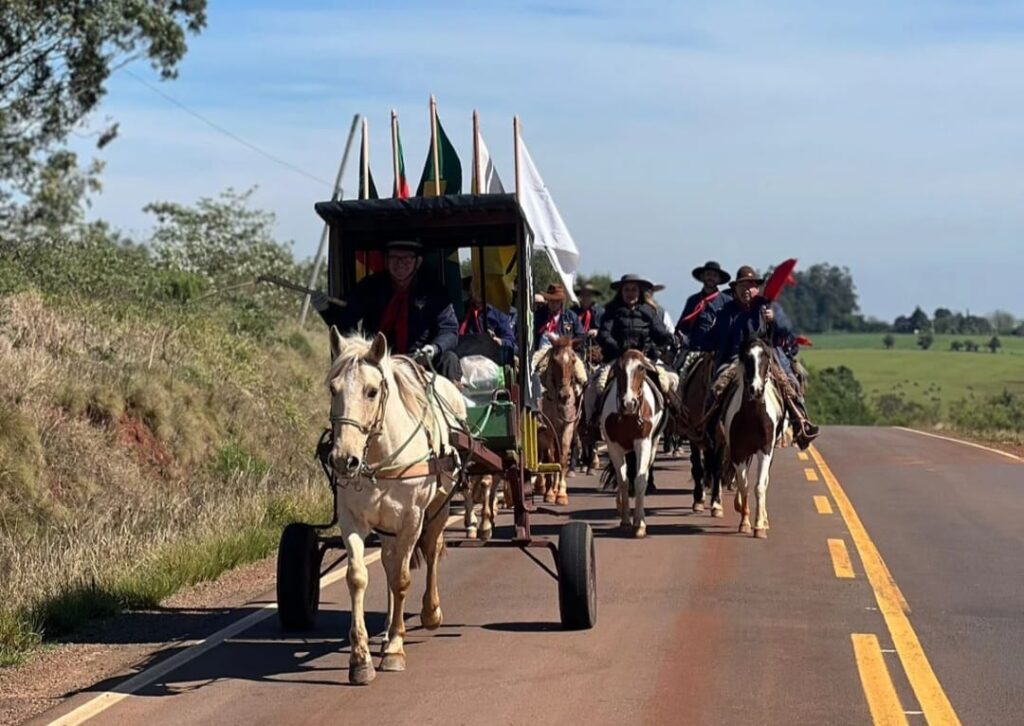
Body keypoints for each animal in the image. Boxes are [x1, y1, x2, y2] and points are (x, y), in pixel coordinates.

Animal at [325, 331, 466, 684]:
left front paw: (394, 649)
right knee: (390, 563)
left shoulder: (411, 518)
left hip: (439, 507)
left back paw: (429, 613)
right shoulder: (352, 520)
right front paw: (360, 659)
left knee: (431, 549)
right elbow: (358, 577)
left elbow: (402, 580)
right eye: (332, 389)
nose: (343, 459)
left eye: (371, 391)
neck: (379, 459)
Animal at [598, 350, 667, 536]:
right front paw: (625, 520)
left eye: (641, 368)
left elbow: (639, 480)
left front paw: (639, 523)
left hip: (652, 445)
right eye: (618, 368)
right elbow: (623, 480)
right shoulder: (614, 446)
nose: (629, 403)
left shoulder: (643, 443)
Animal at [724, 337, 786, 536]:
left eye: (766, 356)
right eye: (746, 357)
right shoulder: (738, 453)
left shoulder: (765, 451)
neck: (752, 416)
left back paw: (764, 519)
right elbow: (744, 485)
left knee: (764, 482)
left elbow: (759, 486)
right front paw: (744, 522)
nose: (756, 390)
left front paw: (759, 525)